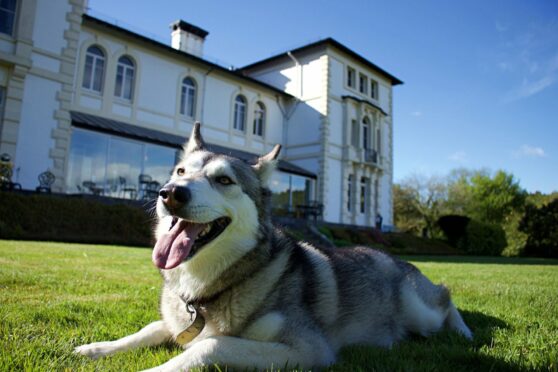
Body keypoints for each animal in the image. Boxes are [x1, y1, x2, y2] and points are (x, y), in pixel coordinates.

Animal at [75, 123, 472, 370]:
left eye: (224, 180)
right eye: (180, 172)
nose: (171, 193)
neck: (210, 287)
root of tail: (391, 256)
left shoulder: (310, 349)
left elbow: (210, 344)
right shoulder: (175, 322)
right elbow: (150, 328)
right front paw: (97, 348)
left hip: (419, 309)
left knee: (447, 299)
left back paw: (464, 332)